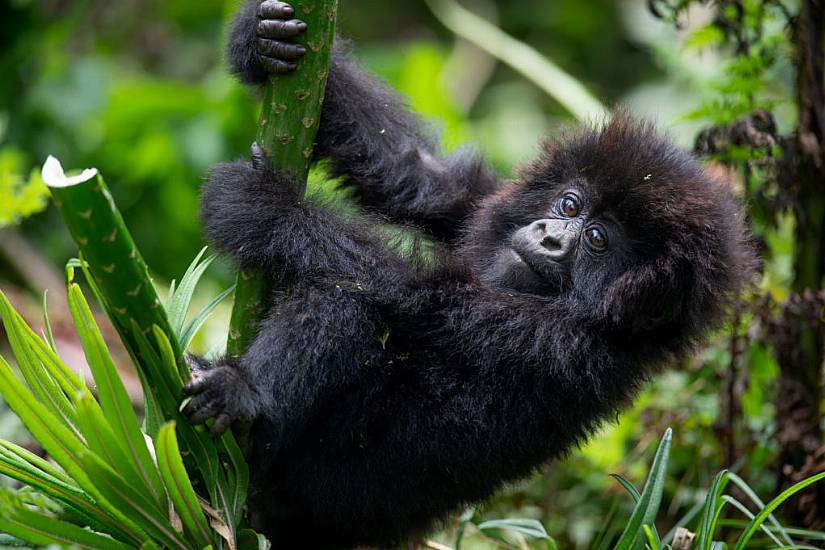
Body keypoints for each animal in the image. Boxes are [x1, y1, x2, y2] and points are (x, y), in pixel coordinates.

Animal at [183, 2, 756, 548]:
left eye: (597, 240)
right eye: (570, 204)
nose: (550, 236)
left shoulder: (560, 343)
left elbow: (414, 296)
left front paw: (265, 208)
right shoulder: (484, 202)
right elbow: (415, 174)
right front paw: (262, 38)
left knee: (346, 301)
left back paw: (242, 397)